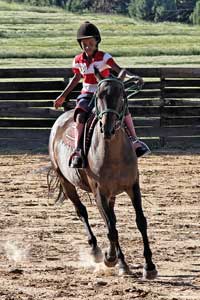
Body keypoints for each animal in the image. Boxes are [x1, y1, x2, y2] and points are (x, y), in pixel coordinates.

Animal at [48, 68, 158, 278]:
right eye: (98, 96)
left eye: (122, 96)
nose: (107, 128)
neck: (113, 155)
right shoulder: (100, 192)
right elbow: (111, 228)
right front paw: (113, 259)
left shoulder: (133, 186)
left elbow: (140, 222)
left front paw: (149, 266)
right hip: (67, 182)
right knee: (83, 212)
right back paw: (98, 251)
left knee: (110, 219)